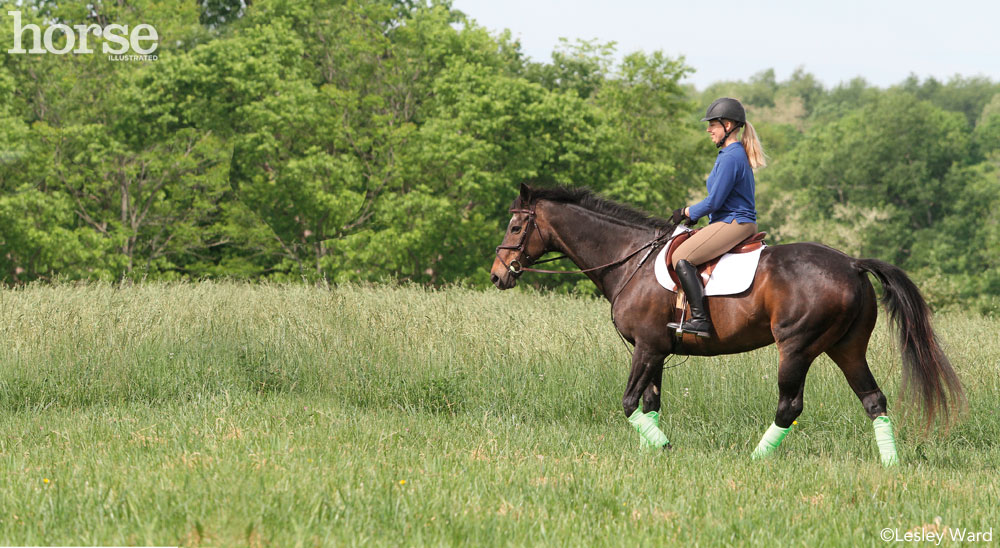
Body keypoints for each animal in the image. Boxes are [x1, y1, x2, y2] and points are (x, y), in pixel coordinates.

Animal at [488, 184, 964, 462]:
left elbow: (628, 402)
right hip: (846, 348)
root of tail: (850, 263)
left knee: (790, 405)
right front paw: (652, 450)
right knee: (873, 399)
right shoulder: (656, 349)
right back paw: (890, 463)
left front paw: (661, 445)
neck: (629, 259)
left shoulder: (646, 346)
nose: (497, 275)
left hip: (797, 347)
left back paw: (756, 458)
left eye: (515, 226)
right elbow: (650, 403)